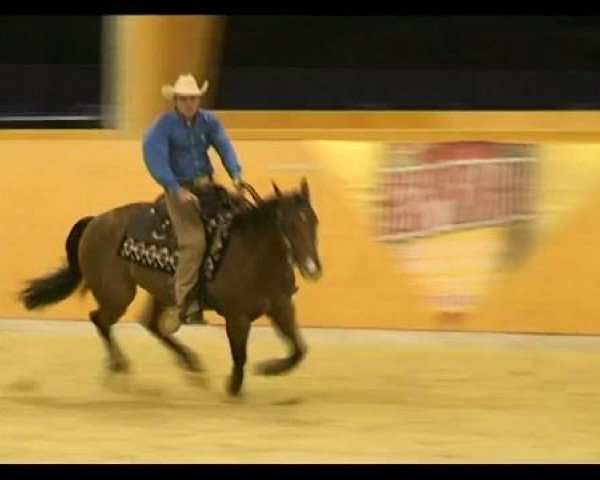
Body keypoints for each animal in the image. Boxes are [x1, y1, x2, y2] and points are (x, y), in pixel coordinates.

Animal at [18, 178, 322, 396]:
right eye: (285, 222)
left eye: (314, 220)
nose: (311, 268)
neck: (252, 253)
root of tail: (95, 222)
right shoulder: (237, 317)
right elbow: (240, 356)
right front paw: (234, 387)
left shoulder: (282, 306)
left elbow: (299, 350)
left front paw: (269, 368)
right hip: (118, 295)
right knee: (100, 320)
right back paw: (121, 367)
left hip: (161, 292)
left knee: (151, 324)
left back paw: (191, 365)